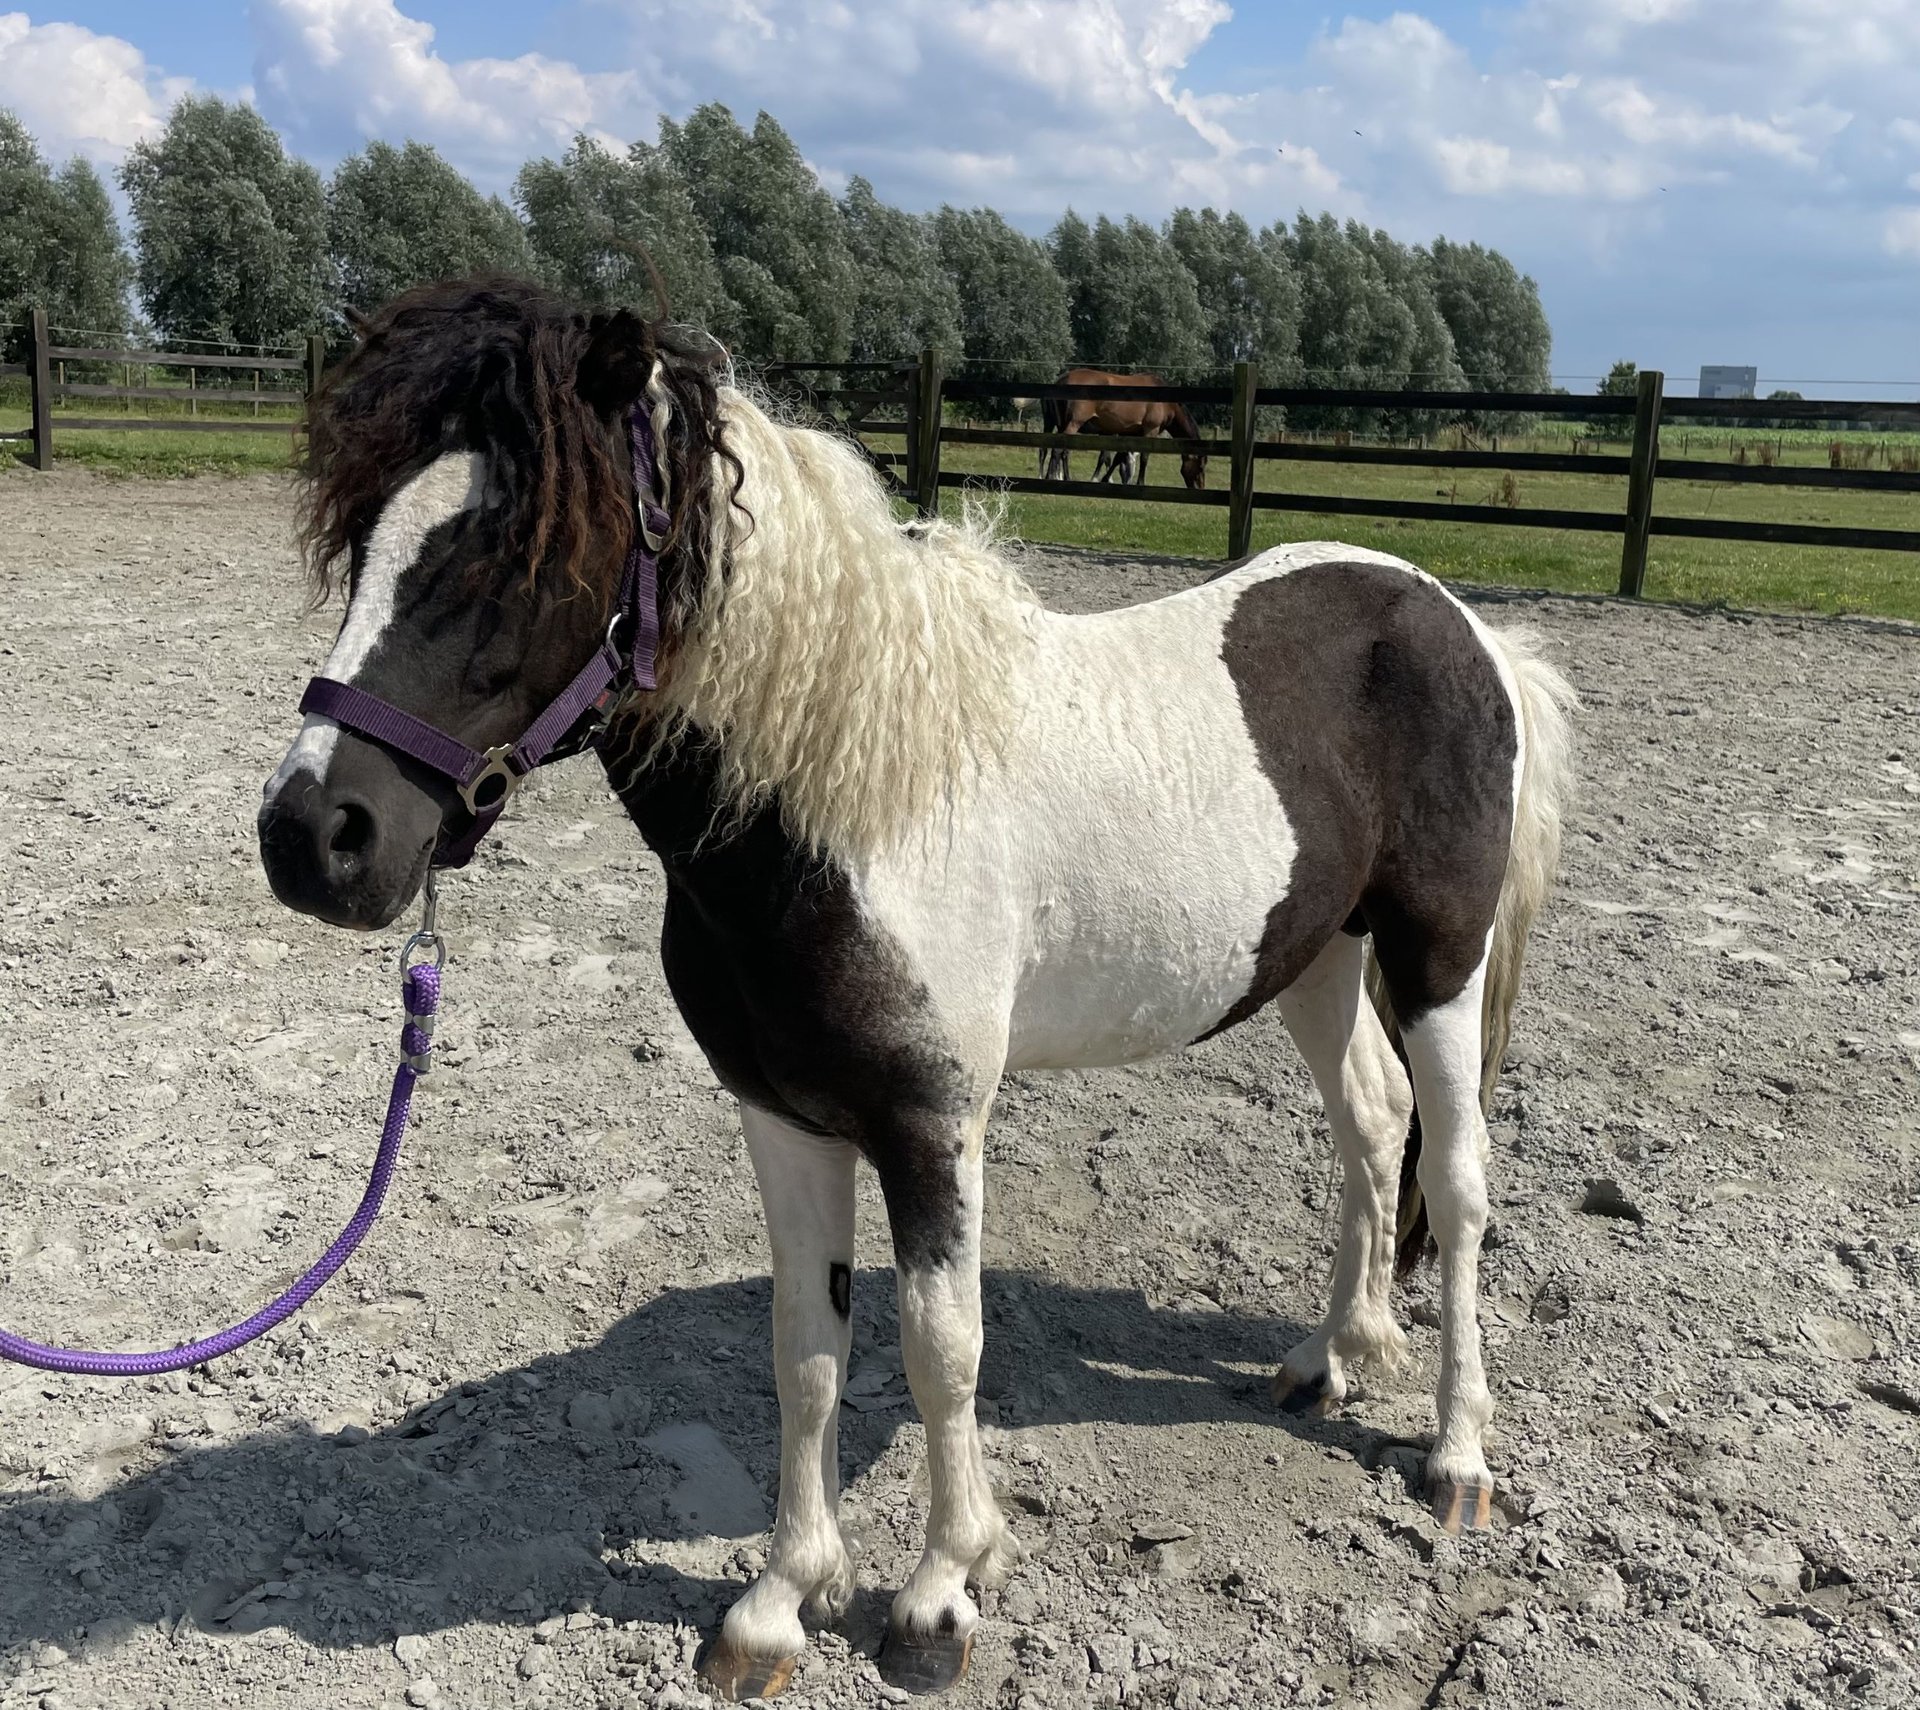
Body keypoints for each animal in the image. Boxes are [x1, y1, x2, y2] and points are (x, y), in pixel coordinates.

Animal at [1044, 364, 1205, 487]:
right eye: (1201, 466)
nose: (1199, 487)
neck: (1165, 401)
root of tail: (1062, 381)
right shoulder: (1150, 430)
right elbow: (1144, 457)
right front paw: (1140, 482)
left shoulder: (1131, 433)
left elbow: (1118, 457)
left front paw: (1105, 479)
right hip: (1073, 423)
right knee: (1060, 450)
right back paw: (1061, 478)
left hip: (1062, 424)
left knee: (1057, 451)